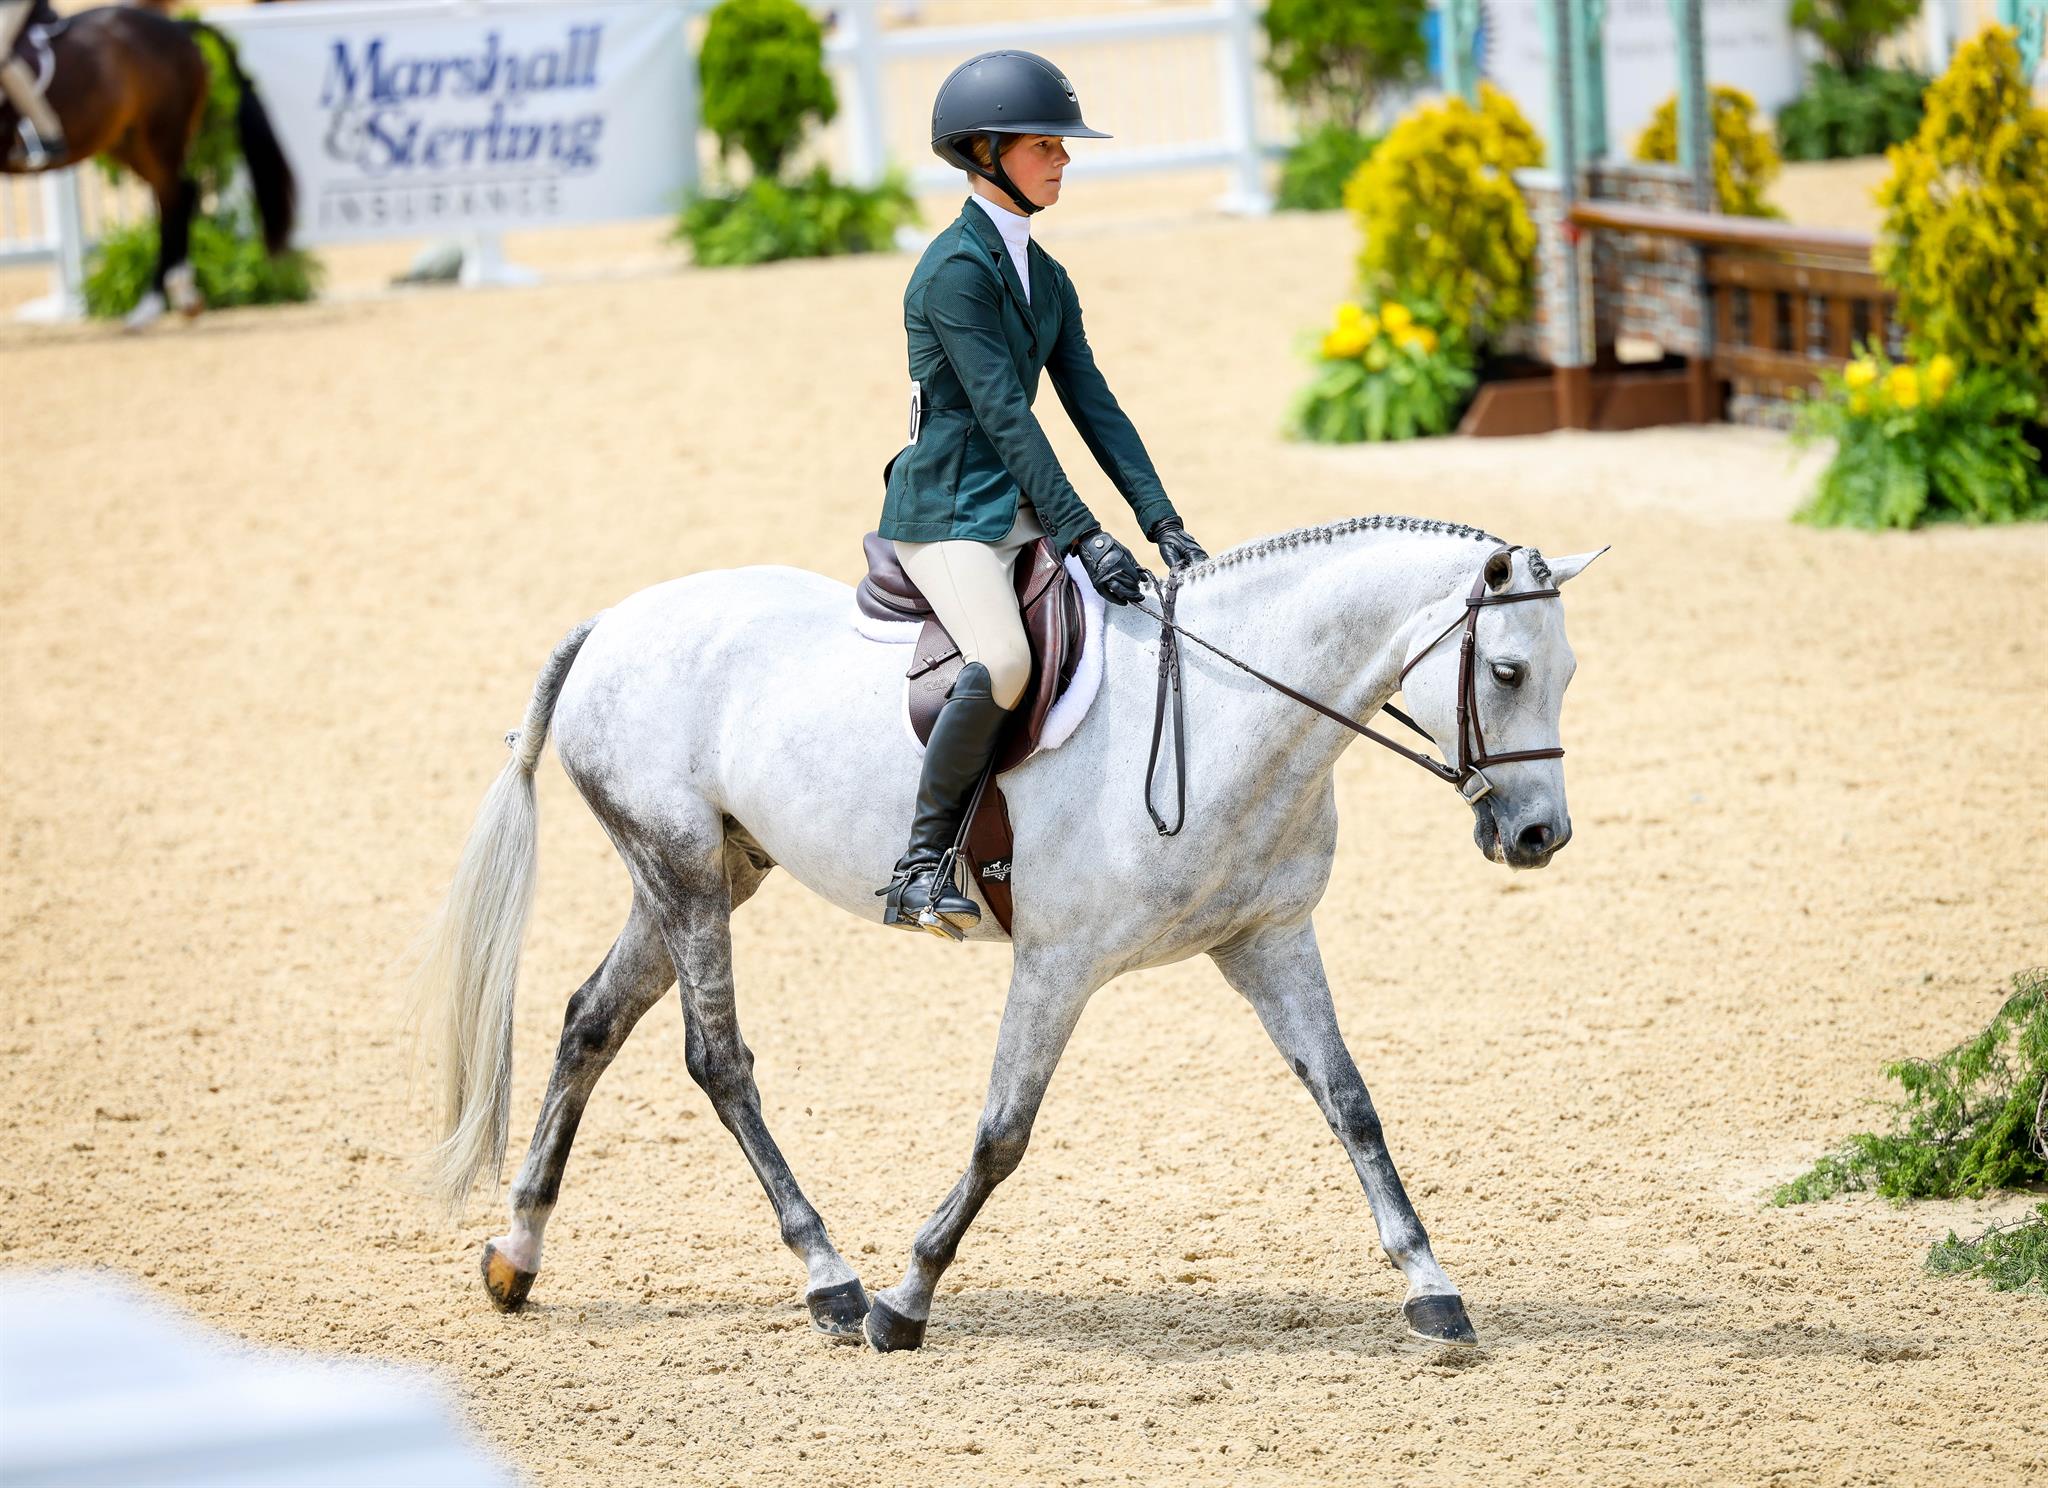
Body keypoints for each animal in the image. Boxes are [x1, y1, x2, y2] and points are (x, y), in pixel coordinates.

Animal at [0, 3, 294, 328]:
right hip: (128, 143)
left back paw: (157, 303)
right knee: (175, 197)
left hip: (161, 135)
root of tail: (179, 27)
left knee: (175, 198)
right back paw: (179, 299)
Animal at [410, 515, 1604, 1350]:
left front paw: (1432, 1291)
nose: (1538, 835)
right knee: (718, 1060)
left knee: (590, 1023)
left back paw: (516, 1254)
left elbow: (1351, 1106)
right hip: (684, 868)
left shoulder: (1268, 941)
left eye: (1566, 673)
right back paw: (830, 1278)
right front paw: (904, 1300)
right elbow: (1002, 1134)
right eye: (1505, 672)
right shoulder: (1057, 962)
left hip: (708, 870)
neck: (1229, 711)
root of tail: (611, 623)